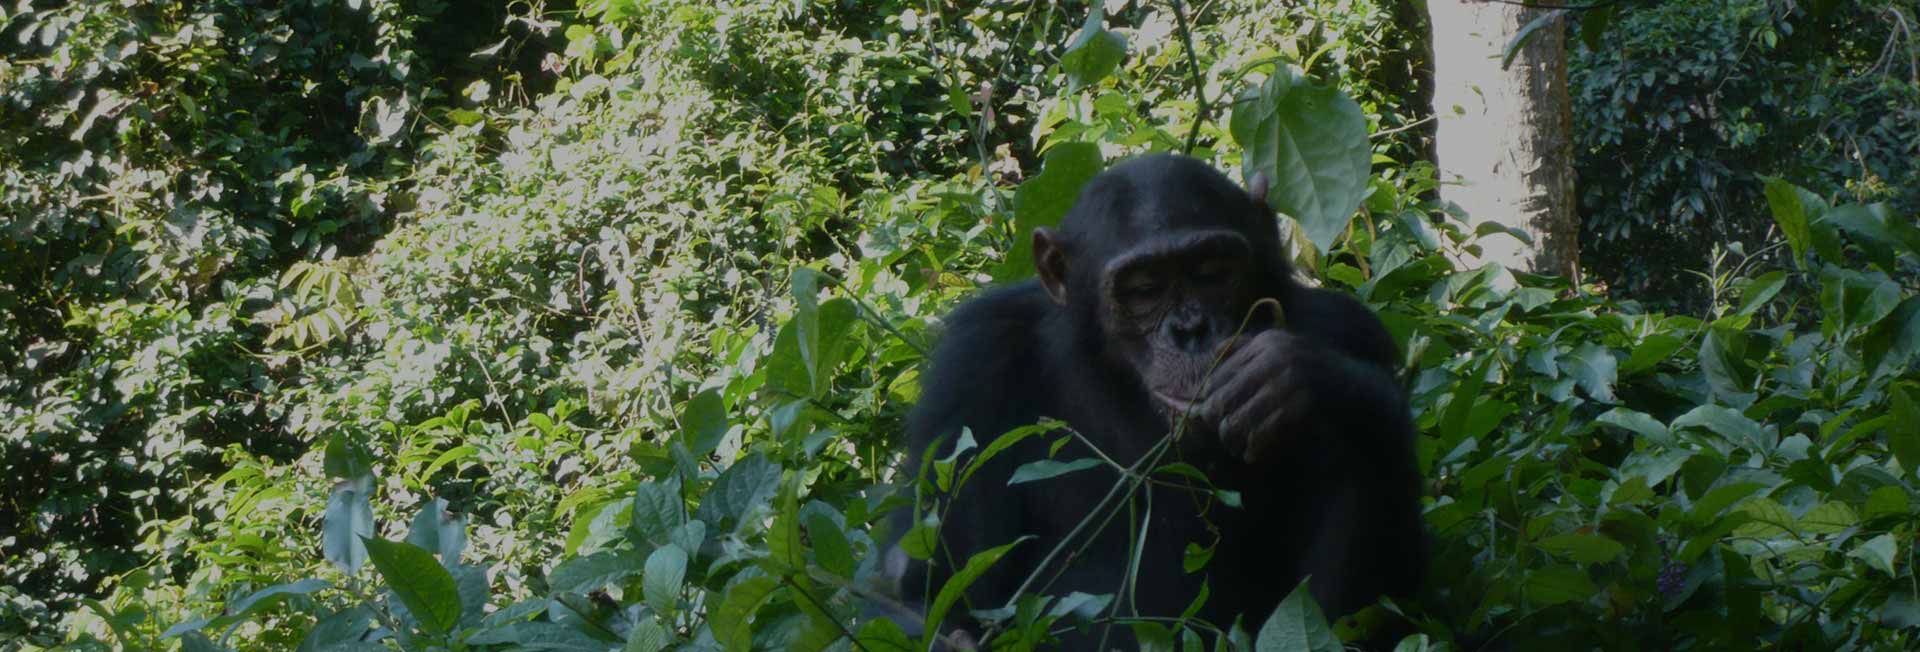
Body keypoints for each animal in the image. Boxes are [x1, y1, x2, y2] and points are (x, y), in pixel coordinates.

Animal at [883, 154, 1428, 652]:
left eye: (1212, 271)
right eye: (1143, 289)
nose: (1190, 329)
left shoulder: (1352, 329)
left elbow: (1394, 608)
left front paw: (1301, 380)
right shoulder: (972, 368)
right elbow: (924, 592)